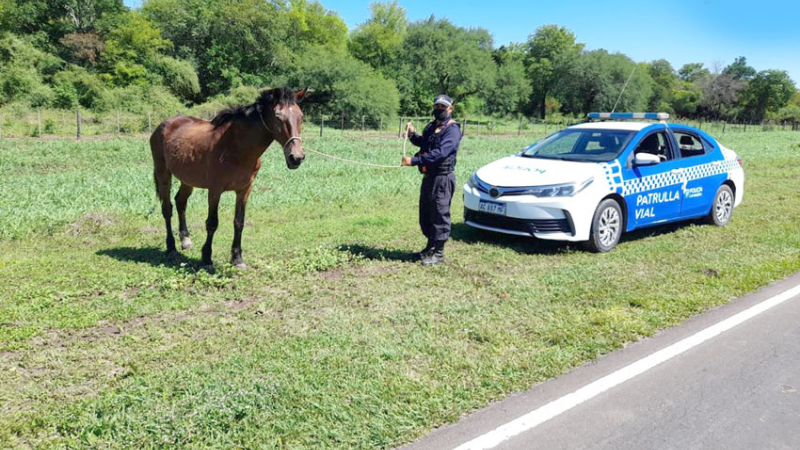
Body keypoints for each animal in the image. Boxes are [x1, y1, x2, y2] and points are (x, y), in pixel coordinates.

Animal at [149, 87, 313, 269]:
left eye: (301, 116)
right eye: (278, 116)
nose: (296, 157)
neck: (236, 147)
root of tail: (164, 124)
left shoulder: (244, 190)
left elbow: (239, 222)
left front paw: (237, 258)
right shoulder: (215, 190)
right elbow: (212, 223)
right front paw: (207, 258)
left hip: (187, 179)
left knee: (180, 202)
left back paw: (185, 240)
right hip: (163, 174)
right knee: (167, 208)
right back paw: (171, 247)